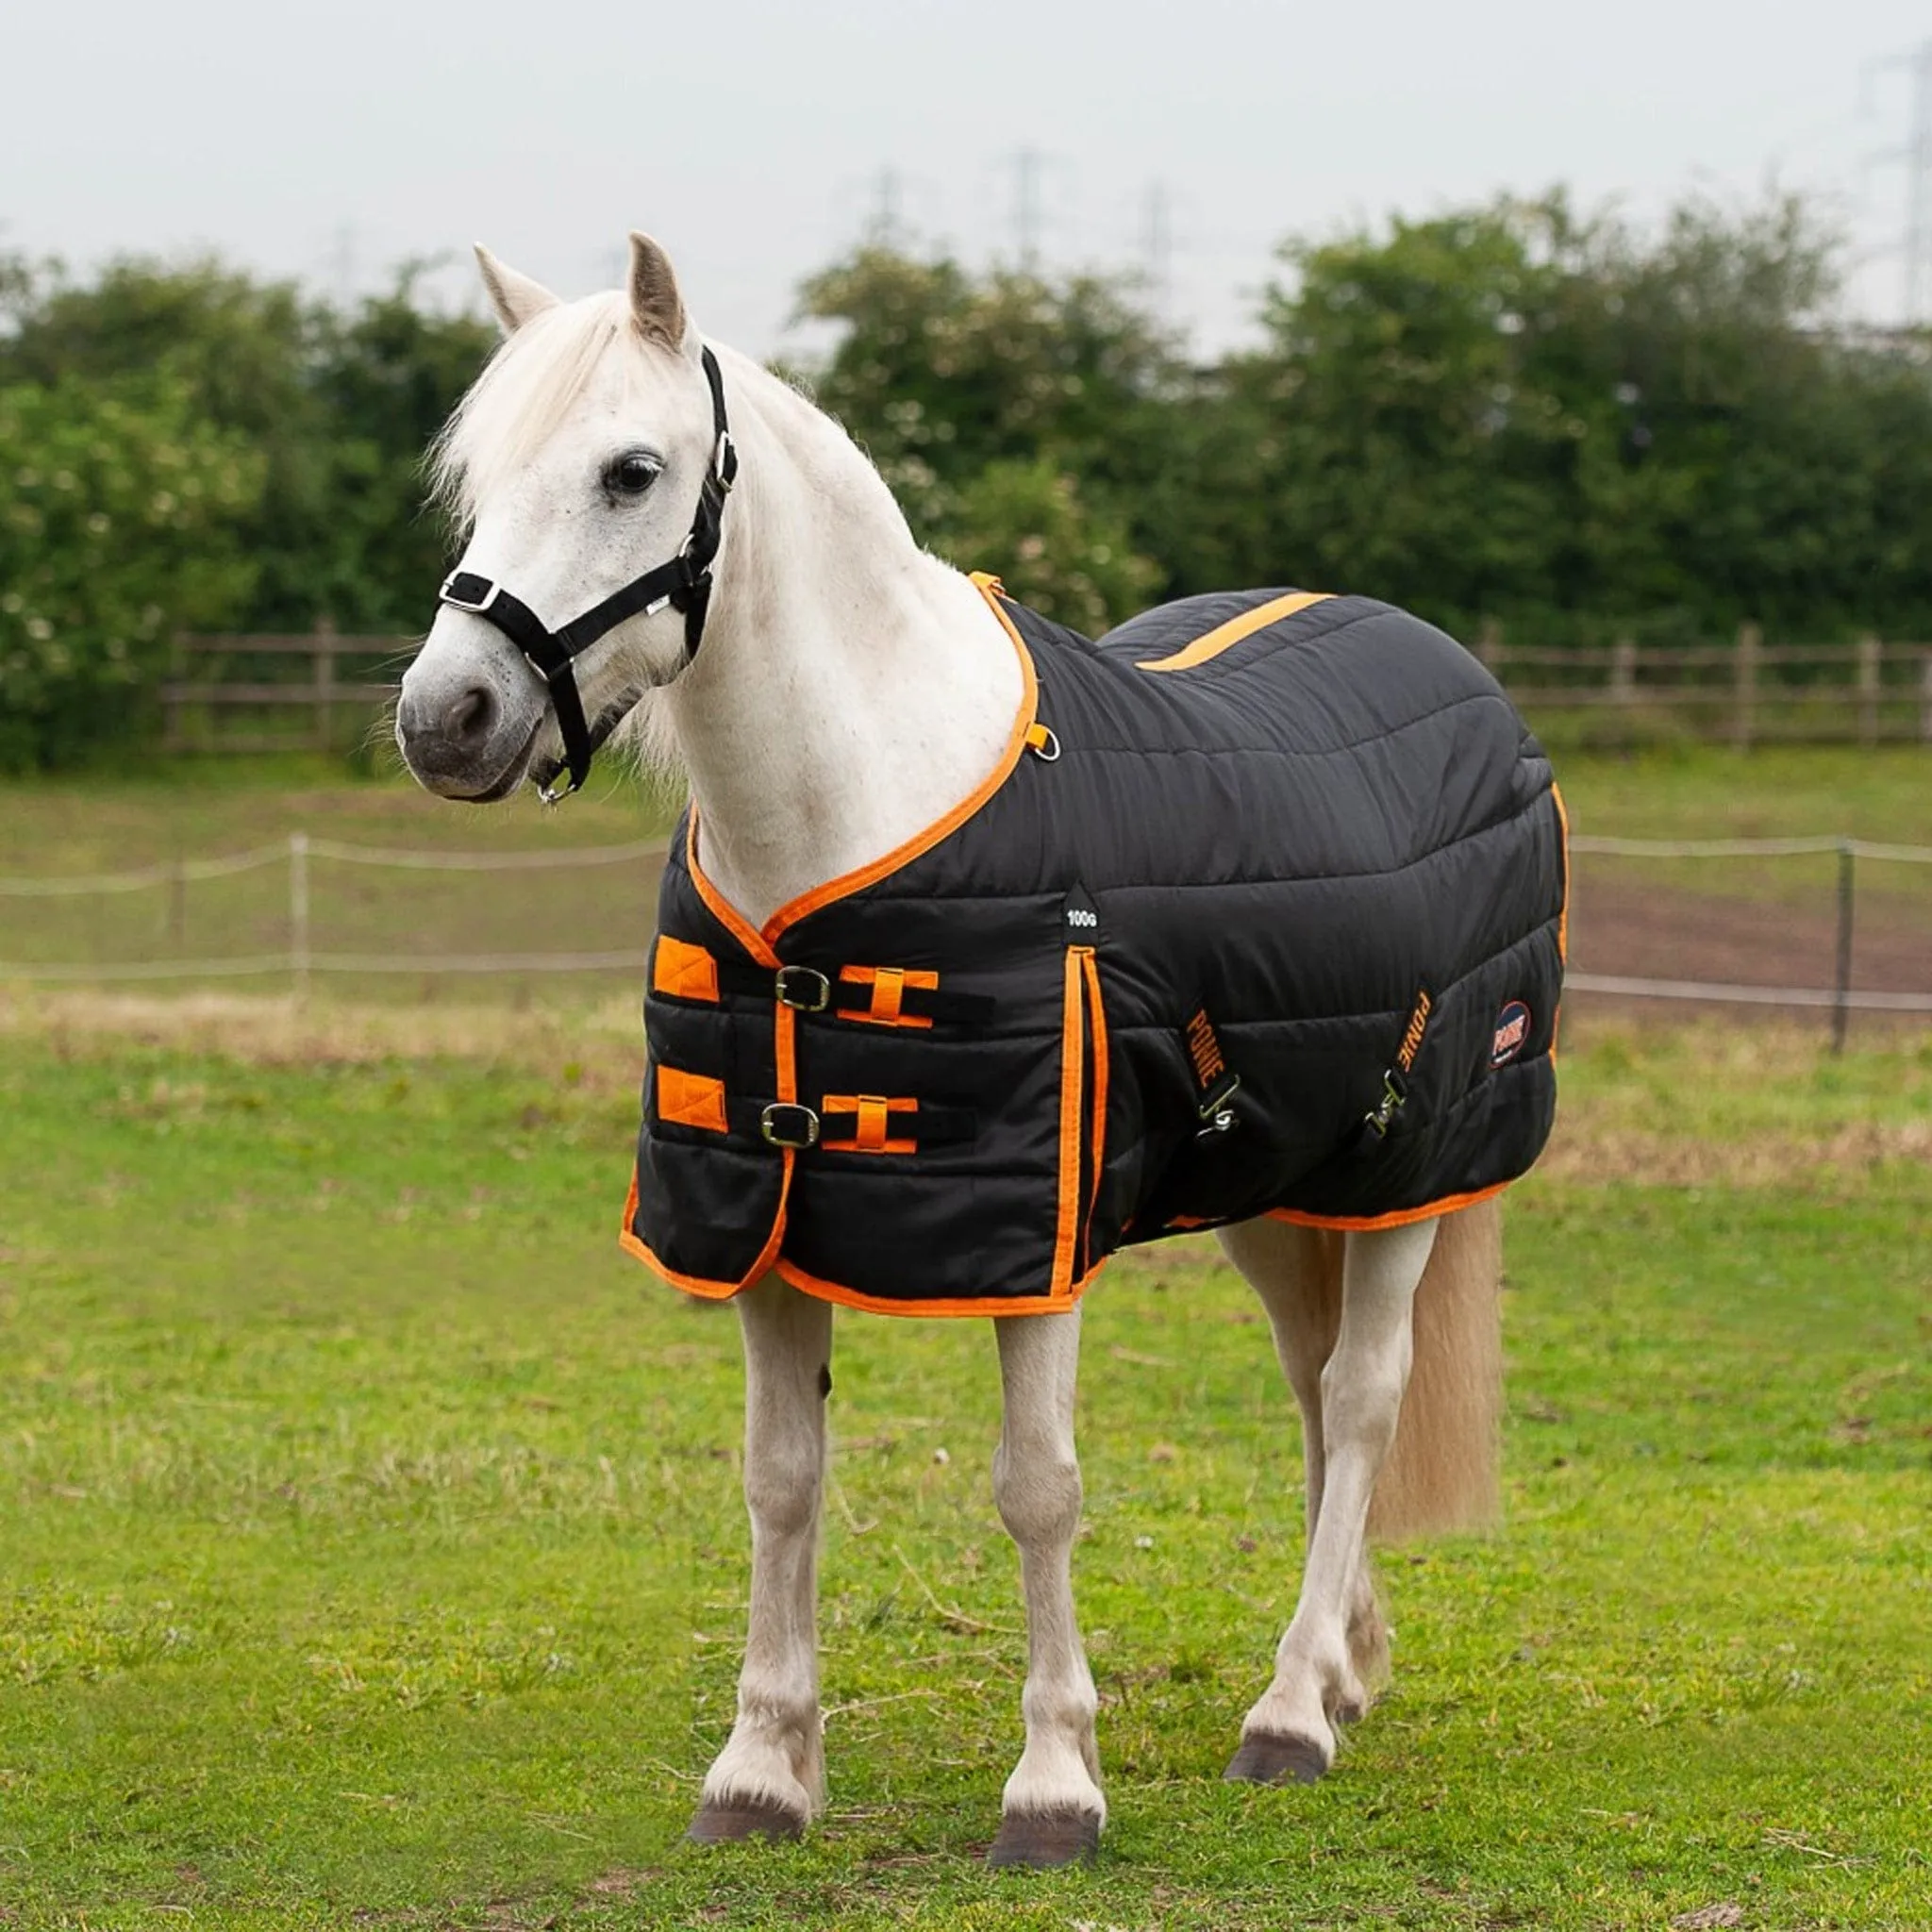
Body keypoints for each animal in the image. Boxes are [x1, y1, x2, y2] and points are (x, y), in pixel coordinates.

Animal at [396, 232, 1563, 1868]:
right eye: (476, 480)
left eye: (631, 472)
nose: (448, 718)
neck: (853, 818)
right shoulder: (764, 1221)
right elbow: (781, 1482)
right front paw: (760, 1771)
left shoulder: (1035, 1234)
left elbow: (1038, 1491)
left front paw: (1055, 1787)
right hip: (1280, 1181)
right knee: (1314, 1387)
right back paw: (1338, 1672)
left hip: (1408, 1174)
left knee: (1363, 1395)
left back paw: (1285, 1716)